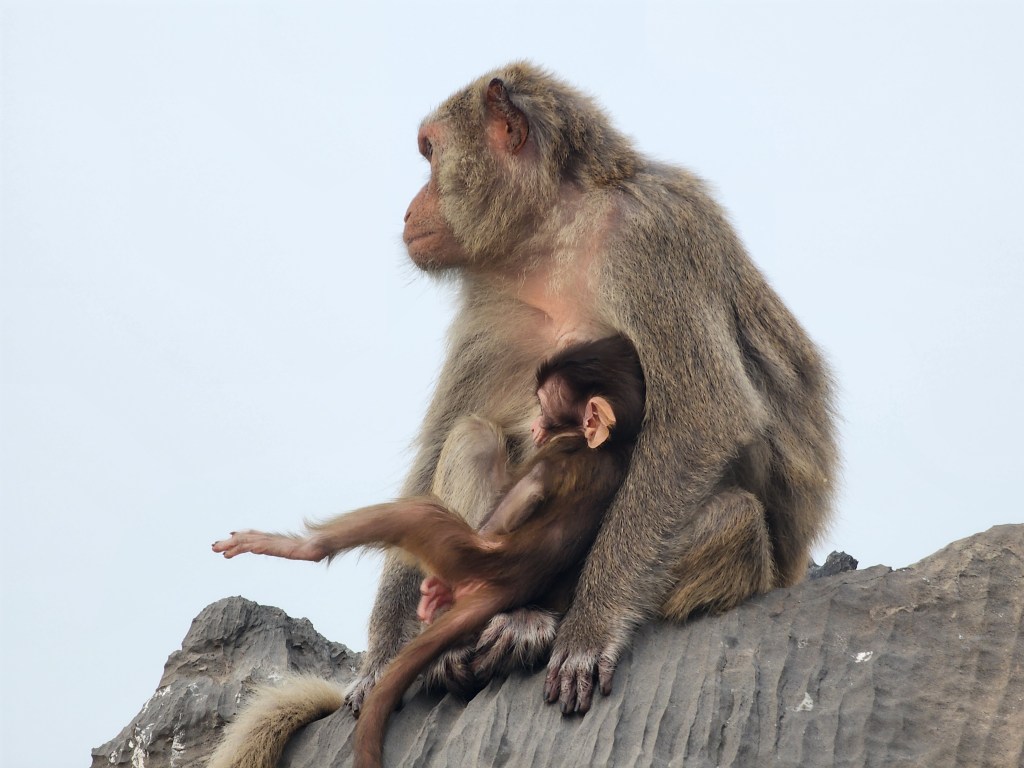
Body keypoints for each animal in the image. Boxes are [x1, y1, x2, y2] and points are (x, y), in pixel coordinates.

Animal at [210, 336, 646, 768]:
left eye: (546, 407)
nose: (537, 424)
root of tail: (508, 584)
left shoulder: (556, 455)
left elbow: (525, 492)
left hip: (459, 549)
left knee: (435, 489)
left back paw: (301, 547)